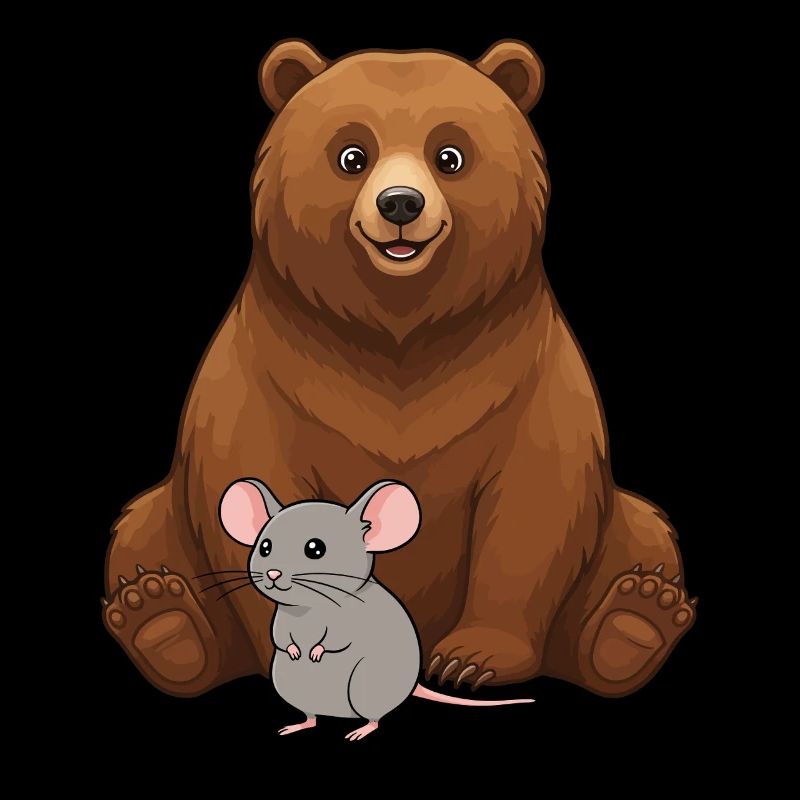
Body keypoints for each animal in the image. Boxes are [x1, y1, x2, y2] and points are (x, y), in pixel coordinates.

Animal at [101, 39, 696, 699]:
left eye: (451, 155)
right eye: (352, 155)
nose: (402, 202)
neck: (398, 334)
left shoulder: (523, 378)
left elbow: (533, 503)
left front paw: (474, 658)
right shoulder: (267, 381)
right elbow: (249, 480)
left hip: (625, 532)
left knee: (645, 532)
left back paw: (635, 620)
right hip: (161, 524)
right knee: (139, 533)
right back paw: (162, 620)